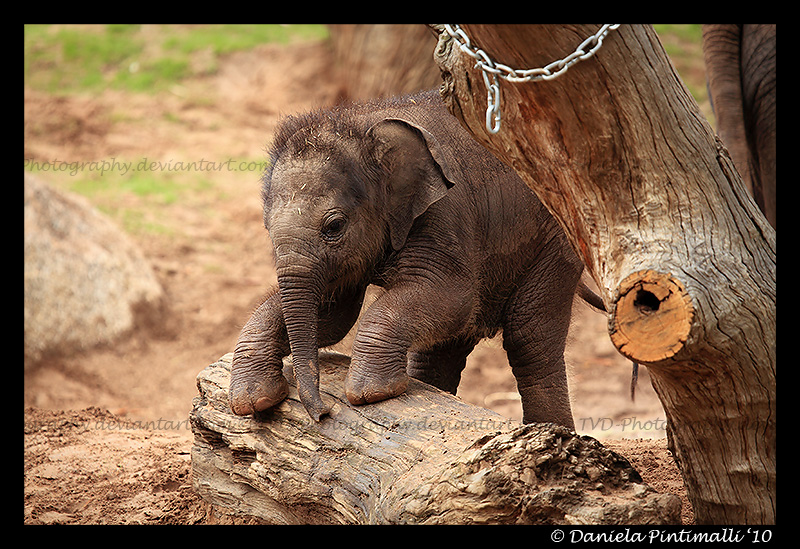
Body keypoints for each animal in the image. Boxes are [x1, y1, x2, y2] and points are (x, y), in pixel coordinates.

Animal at [229, 89, 604, 428]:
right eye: (268, 229)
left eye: (334, 226)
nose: (322, 414)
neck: (360, 122)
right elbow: (334, 316)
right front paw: (252, 399)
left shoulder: (443, 215)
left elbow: (453, 297)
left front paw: (372, 393)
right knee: (443, 348)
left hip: (557, 244)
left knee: (529, 339)